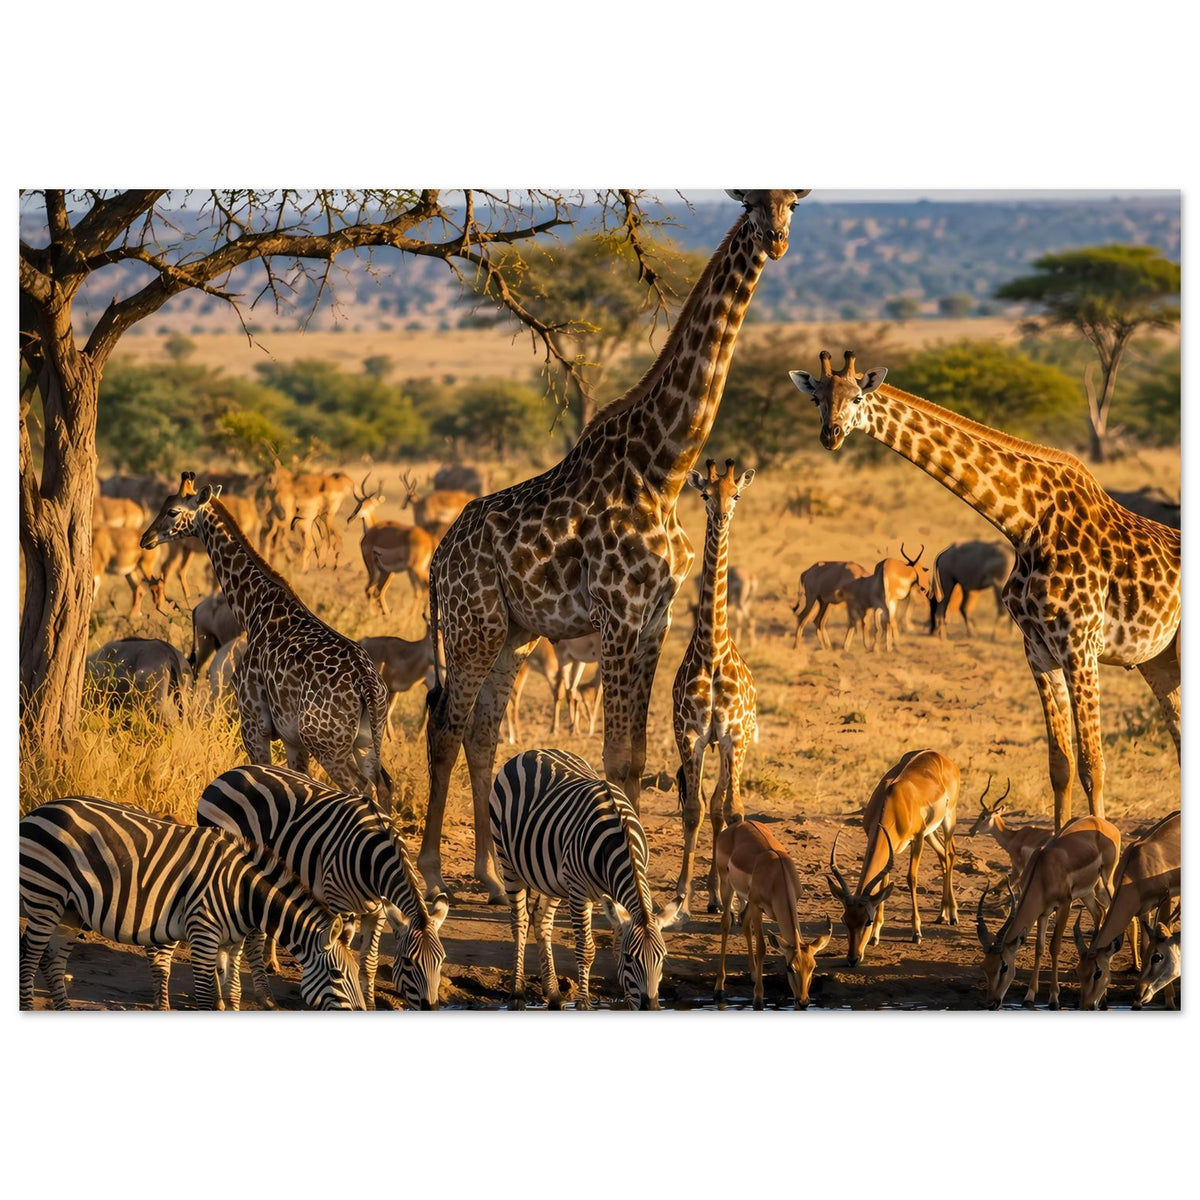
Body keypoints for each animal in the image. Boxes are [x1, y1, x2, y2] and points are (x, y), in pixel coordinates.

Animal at [19, 796, 366, 1011]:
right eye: (337, 975)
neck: (242, 891)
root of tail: (38, 810)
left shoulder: (232, 943)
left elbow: (233, 991)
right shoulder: (203, 935)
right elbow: (204, 996)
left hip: (70, 911)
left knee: (52, 961)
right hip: (45, 897)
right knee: (29, 957)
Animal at [197, 764, 449, 1009]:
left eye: (441, 961)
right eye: (408, 962)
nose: (431, 1008)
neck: (375, 858)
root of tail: (229, 772)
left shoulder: (377, 911)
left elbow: (370, 963)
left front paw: (370, 1003)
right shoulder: (340, 904)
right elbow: (342, 950)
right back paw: (254, 996)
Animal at [489, 748, 683, 1010]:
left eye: (662, 957)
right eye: (630, 958)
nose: (650, 1007)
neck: (621, 841)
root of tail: (532, 751)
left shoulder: (612, 897)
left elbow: (614, 945)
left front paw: (625, 1000)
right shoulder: (580, 892)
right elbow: (586, 949)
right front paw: (583, 1002)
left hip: (552, 879)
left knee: (541, 920)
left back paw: (554, 994)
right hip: (508, 861)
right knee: (519, 922)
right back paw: (517, 994)